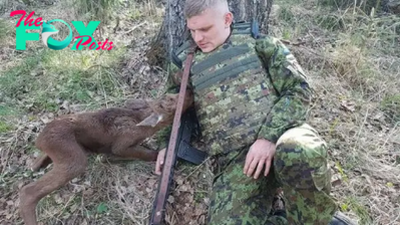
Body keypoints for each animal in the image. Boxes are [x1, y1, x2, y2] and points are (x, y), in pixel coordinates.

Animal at [18, 90, 194, 225]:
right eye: (171, 102)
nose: (190, 91)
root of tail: (39, 140)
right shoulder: (122, 144)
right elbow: (143, 153)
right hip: (74, 159)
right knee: (28, 191)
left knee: (36, 164)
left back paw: (36, 165)